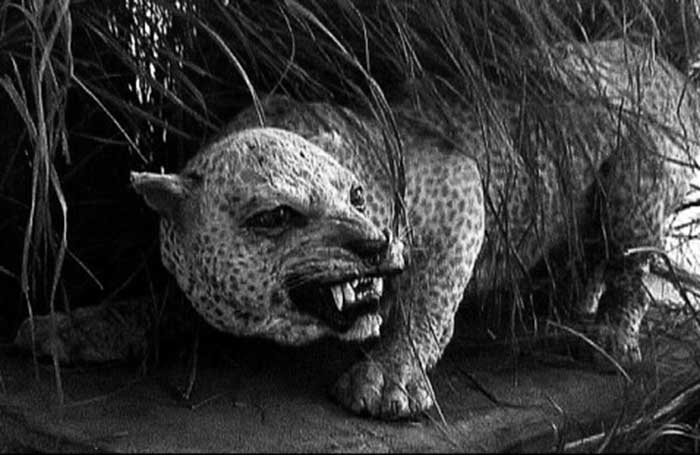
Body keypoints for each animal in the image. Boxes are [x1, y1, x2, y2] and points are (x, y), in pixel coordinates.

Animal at [15, 39, 700, 420]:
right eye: (275, 216)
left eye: (357, 197)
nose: (373, 243)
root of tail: (658, 61)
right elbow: (152, 303)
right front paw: (74, 327)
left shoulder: (457, 178)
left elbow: (428, 300)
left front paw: (389, 379)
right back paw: (567, 307)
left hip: (634, 191)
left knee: (632, 266)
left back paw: (607, 336)